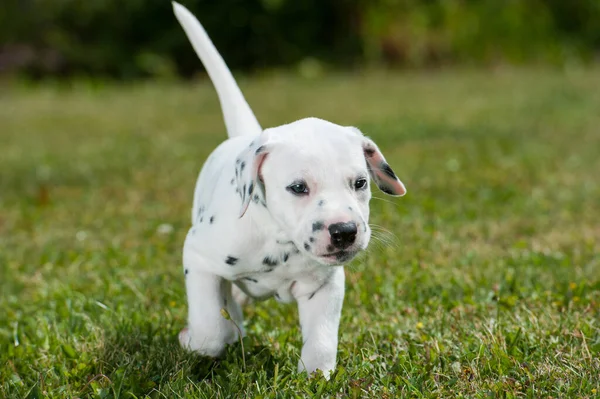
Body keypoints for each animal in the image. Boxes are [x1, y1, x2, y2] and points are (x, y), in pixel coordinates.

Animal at [173, 1, 408, 380]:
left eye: (360, 183)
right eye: (298, 188)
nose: (345, 231)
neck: (278, 239)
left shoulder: (325, 286)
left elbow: (321, 341)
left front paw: (315, 375)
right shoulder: (198, 258)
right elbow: (210, 327)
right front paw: (199, 339)